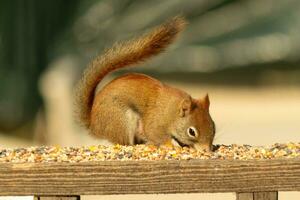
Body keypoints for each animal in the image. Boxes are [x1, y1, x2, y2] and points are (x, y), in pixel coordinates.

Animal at [75, 16, 216, 152]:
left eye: (213, 127)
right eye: (191, 132)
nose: (206, 150)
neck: (172, 112)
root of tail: (94, 126)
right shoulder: (156, 122)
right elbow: (156, 134)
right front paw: (171, 146)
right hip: (122, 120)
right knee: (125, 143)